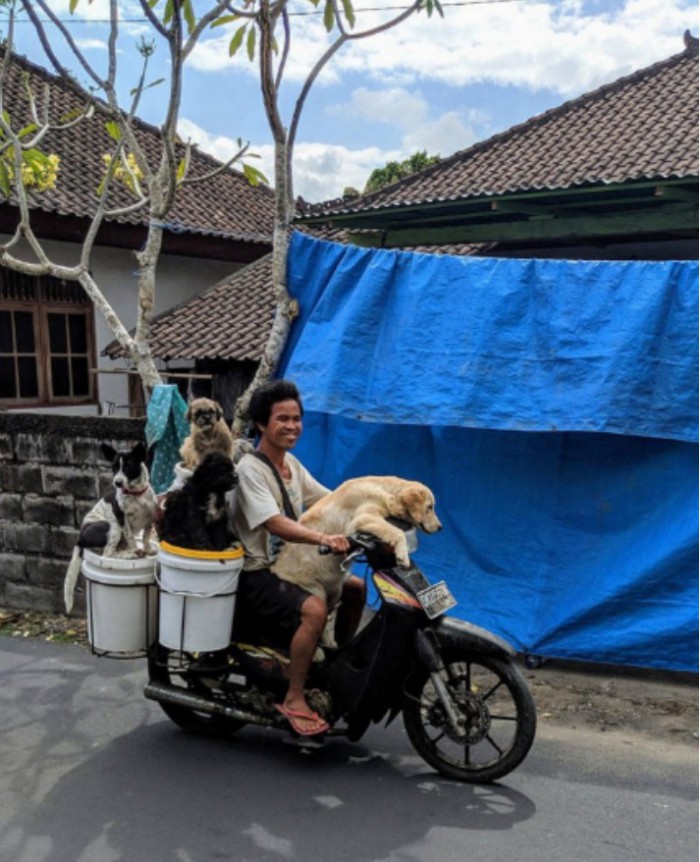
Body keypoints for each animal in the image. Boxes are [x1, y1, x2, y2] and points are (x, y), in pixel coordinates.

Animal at [63, 446, 158, 616]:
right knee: (107, 553)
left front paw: (147, 549)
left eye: (128, 466)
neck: (136, 494)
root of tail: (80, 537)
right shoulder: (122, 520)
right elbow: (131, 539)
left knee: (114, 550)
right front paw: (137, 550)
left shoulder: (150, 518)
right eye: (114, 468)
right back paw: (130, 554)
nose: (117, 483)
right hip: (112, 527)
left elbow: (146, 537)